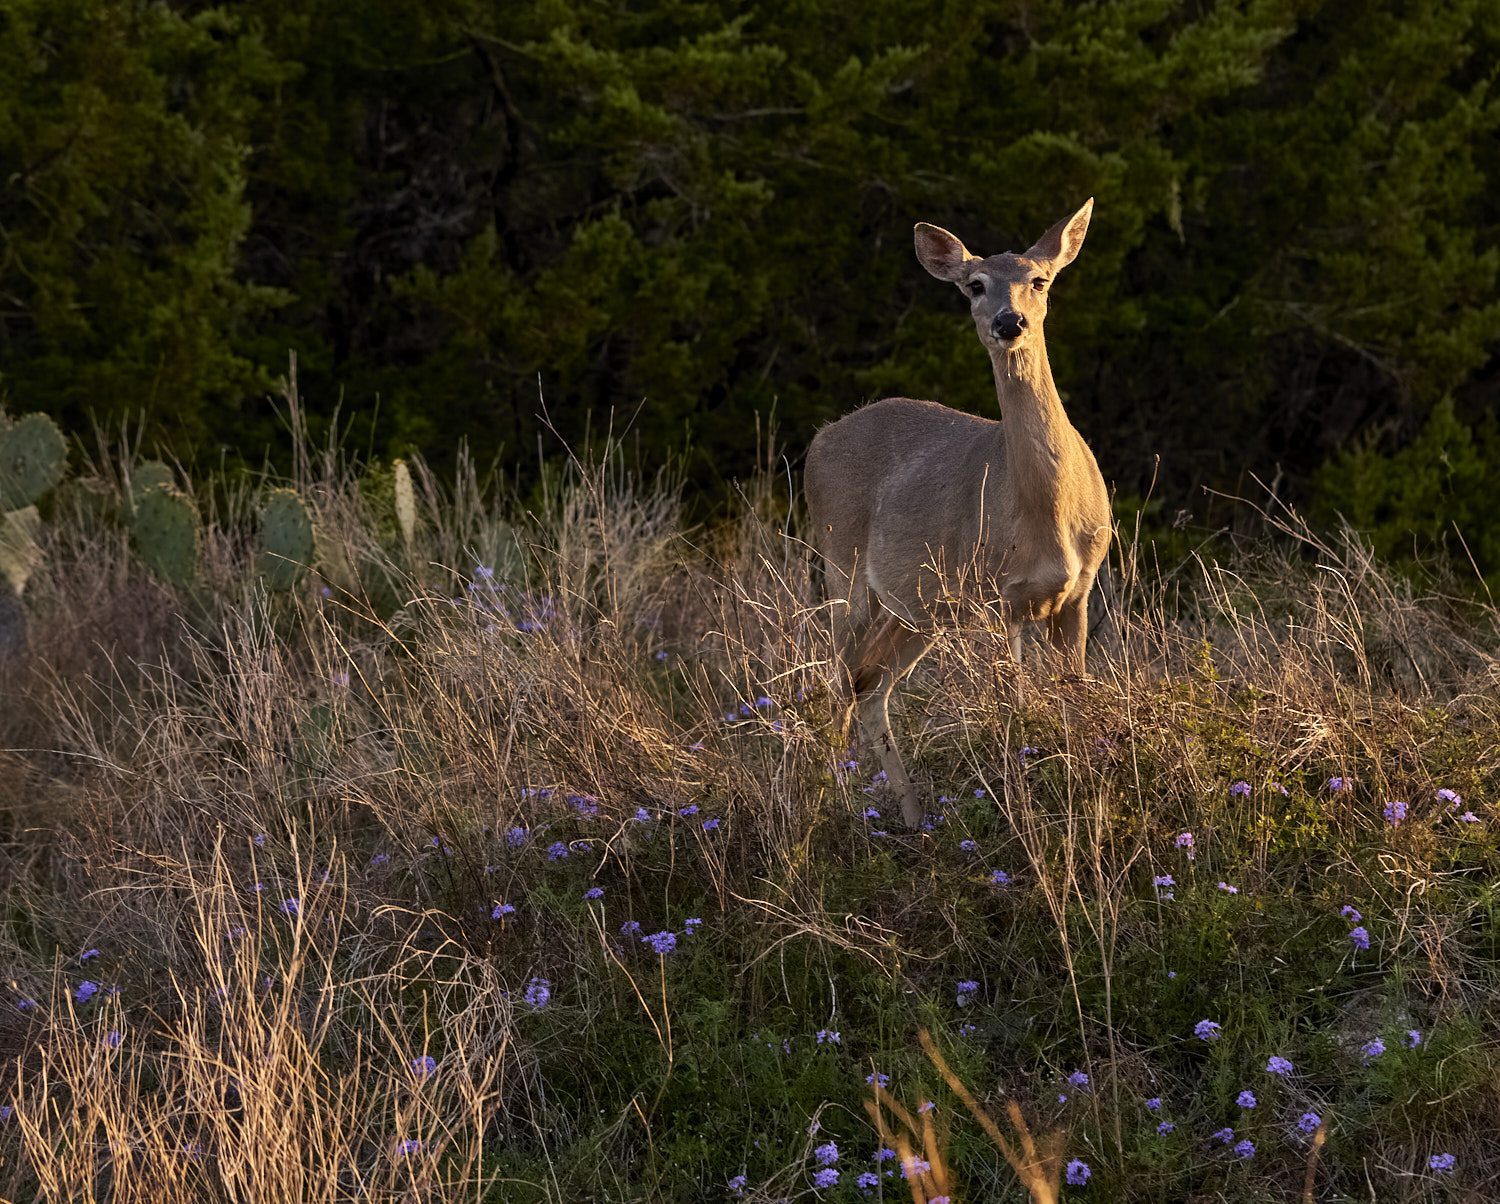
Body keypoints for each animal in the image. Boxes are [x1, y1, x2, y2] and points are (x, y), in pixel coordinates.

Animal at [810, 202, 1116, 833]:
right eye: (975, 285)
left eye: (1038, 280)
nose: (1009, 322)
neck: (1045, 514)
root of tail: (818, 439)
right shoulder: (995, 595)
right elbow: (1014, 708)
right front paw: (1023, 808)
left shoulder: (1077, 591)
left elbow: (1073, 697)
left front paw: (1084, 795)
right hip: (840, 564)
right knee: (837, 678)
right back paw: (824, 806)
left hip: (916, 608)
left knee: (868, 682)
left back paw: (913, 818)